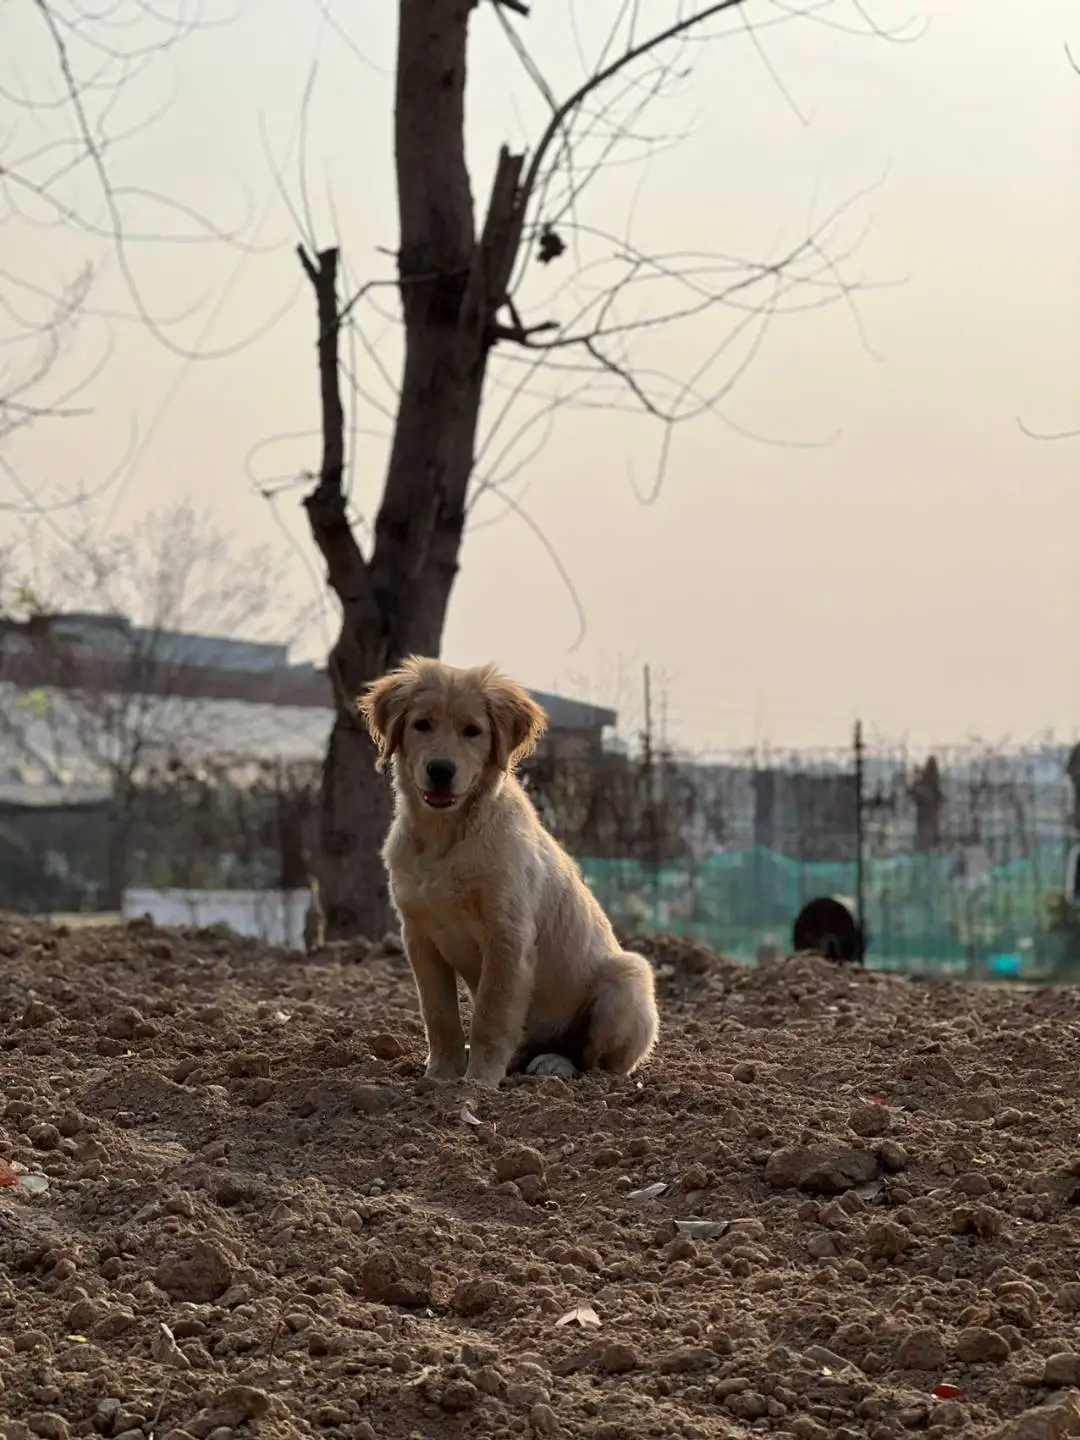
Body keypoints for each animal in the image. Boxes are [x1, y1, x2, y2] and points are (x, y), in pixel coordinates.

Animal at [360, 659, 659, 1082]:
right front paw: (441, 1077)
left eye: (472, 731)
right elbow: (439, 1014)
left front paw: (478, 1083)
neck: (446, 834)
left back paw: (557, 1064)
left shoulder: (507, 935)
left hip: (628, 979)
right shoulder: (418, 936)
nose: (440, 770)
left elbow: (491, 1014)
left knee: (594, 1060)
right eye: (422, 724)